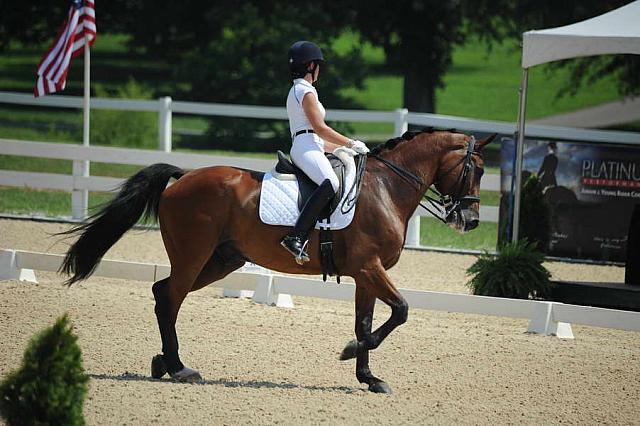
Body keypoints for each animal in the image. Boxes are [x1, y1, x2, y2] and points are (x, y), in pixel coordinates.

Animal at [60, 129, 496, 392]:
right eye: (475, 168)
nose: (471, 220)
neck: (387, 187)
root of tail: (183, 177)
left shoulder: (365, 274)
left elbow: (367, 321)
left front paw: (369, 377)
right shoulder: (370, 268)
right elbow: (401, 311)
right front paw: (349, 351)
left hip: (220, 261)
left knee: (161, 291)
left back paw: (163, 362)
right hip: (193, 257)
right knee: (170, 299)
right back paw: (180, 367)